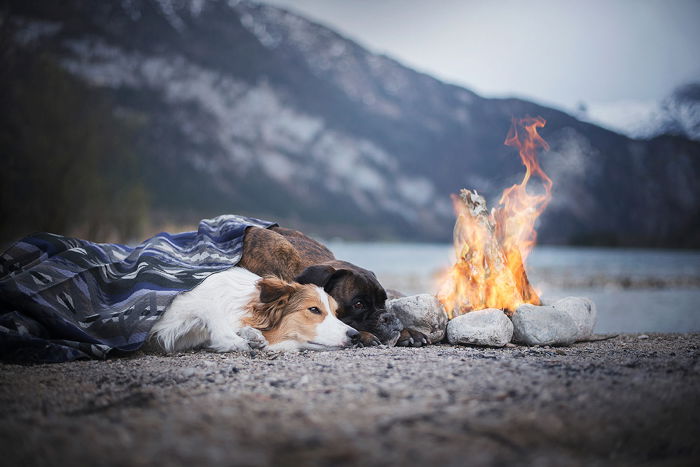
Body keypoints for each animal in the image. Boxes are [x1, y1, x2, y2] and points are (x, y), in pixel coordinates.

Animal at [150, 266, 358, 352]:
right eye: (314, 309)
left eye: (336, 313)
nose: (355, 335)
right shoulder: (171, 305)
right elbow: (209, 307)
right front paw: (233, 340)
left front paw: (250, 334)